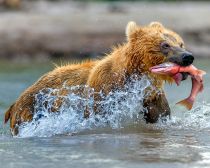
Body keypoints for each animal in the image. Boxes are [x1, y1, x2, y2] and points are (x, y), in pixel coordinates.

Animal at [4, 21, 194, 136]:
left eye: (180, 43)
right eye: (165, 45)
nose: (187, 57)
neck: (137, 78)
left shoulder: (151, 96)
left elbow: (160, 117)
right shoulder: (104, 93)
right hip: (31, 110)